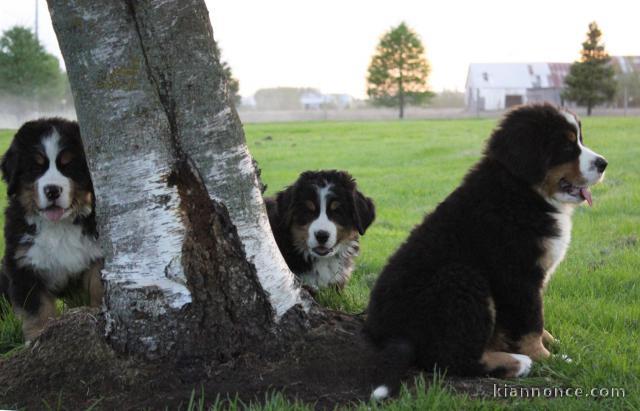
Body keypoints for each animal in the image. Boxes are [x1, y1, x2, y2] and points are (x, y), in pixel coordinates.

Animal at [0, 118, 102, 342]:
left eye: (68, 166)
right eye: (35, 168)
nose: (52, 190)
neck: (58, 228)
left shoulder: (97, 255)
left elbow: (97, 287)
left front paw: (98, 312)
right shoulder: (23, 265)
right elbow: (36, 309)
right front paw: (38, 336)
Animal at [368, 104, 608, 400]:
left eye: (580, 140)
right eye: (565, 146)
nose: (603, 164)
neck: (520, 190)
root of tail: (393, 334)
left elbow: (533, 319)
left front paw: (555, 343)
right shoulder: (517, 275)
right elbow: (531, 322)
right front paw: (547, 358)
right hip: (461, 280)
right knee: (450, 359)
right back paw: (518, 363)